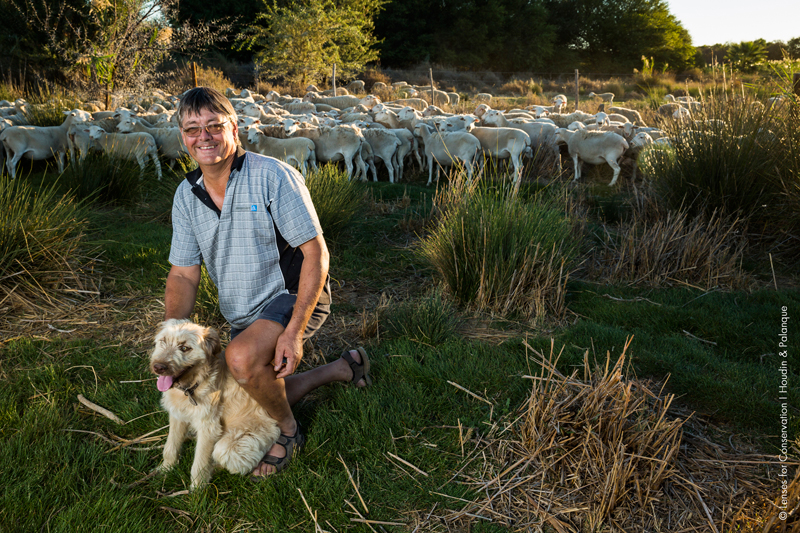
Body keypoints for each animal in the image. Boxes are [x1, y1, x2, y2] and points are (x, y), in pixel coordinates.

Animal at [150, 318, 282, 488]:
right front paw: (165, 469)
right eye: (163, 341)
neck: (192, 386)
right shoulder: (177, 416)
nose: (158, 367)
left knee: (223, 458)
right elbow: (170, 446)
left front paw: (197, 490)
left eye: (185, 348)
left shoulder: (208, 427)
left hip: (229, 447)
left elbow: (200, 462)